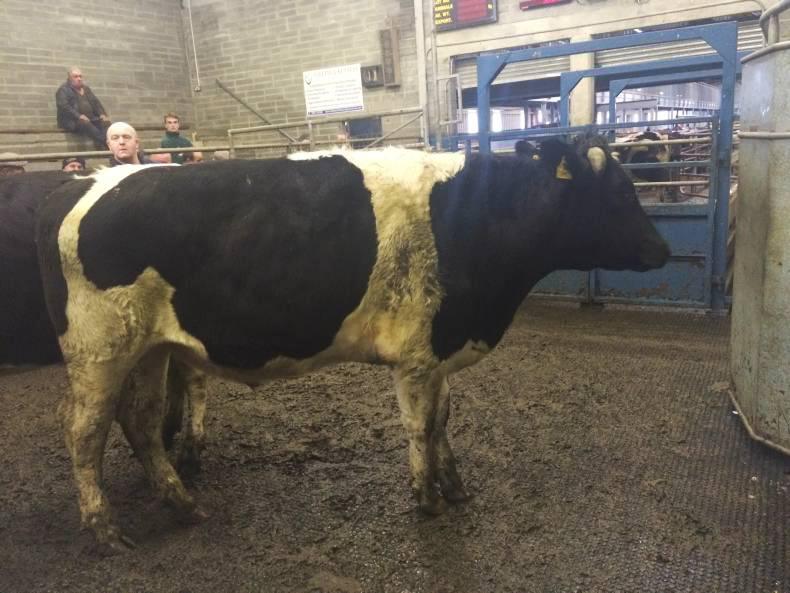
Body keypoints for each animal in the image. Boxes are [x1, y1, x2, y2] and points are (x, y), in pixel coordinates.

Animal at [35, 133, 669, 554]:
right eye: (619, 194)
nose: (662, 251)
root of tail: (83, 186)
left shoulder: (439, 350)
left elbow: (443, 421)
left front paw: (455, 487)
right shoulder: (416, 354)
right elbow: (420, 426)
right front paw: (426, 498)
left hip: (149, 349)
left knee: (141, 422)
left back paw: (182, 504)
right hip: (99, 349)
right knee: (84, 431)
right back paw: (105, 528)